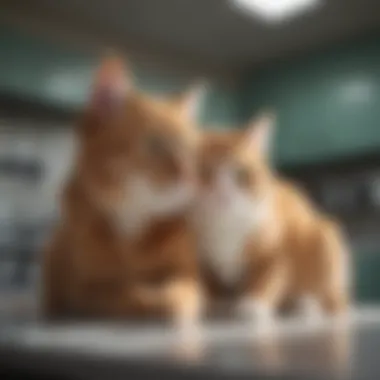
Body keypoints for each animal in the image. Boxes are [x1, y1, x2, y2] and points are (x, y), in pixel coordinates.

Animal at [41, 57, 205, 330]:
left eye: (192, 151)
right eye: (155, 144)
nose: (191, 176)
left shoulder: (188, 276)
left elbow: (179, 291)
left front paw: (164, 297)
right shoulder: (84, 287)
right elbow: (122, 294)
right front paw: (146, 298)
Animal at [191, 115, 352, 324]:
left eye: (241, 173)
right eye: (203, 171)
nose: (223, 194)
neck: (224, 226)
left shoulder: (278, 249)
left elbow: (268, 277)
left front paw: (253, 304)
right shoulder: (201, 259)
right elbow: (209, 283)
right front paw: (212, 304)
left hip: (324, 238)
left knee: (334, 301)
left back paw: (306, 306)